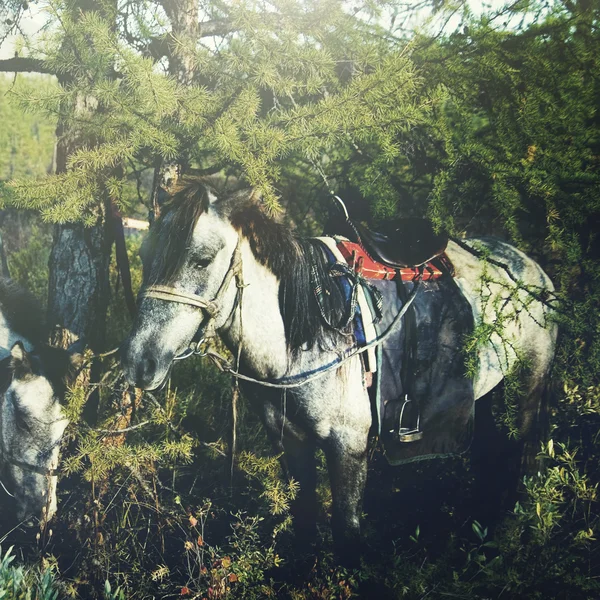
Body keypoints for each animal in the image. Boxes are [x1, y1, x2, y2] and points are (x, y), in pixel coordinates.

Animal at [120, 180, 556, 560]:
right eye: (143, 256)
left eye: (202, 260)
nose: (139, 363)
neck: (302, 340)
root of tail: (530, 267)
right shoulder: (290, 443)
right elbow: (304, 519)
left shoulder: (348, 445)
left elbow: (346, 533)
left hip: (528, 387)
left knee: (520, 455)